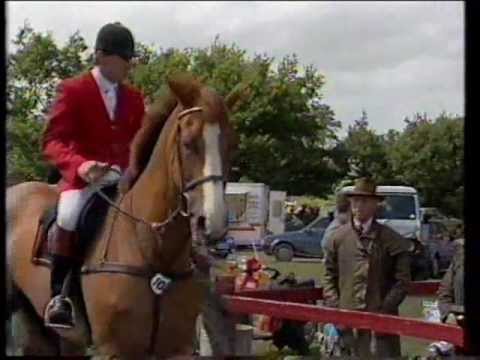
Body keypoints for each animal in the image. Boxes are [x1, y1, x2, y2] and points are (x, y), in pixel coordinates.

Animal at [8, 73, 244, 358]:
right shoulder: (114, 349)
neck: (153, 250)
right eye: (188, 144)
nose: (212, 222)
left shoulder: (178, 348)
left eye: (232, 145)